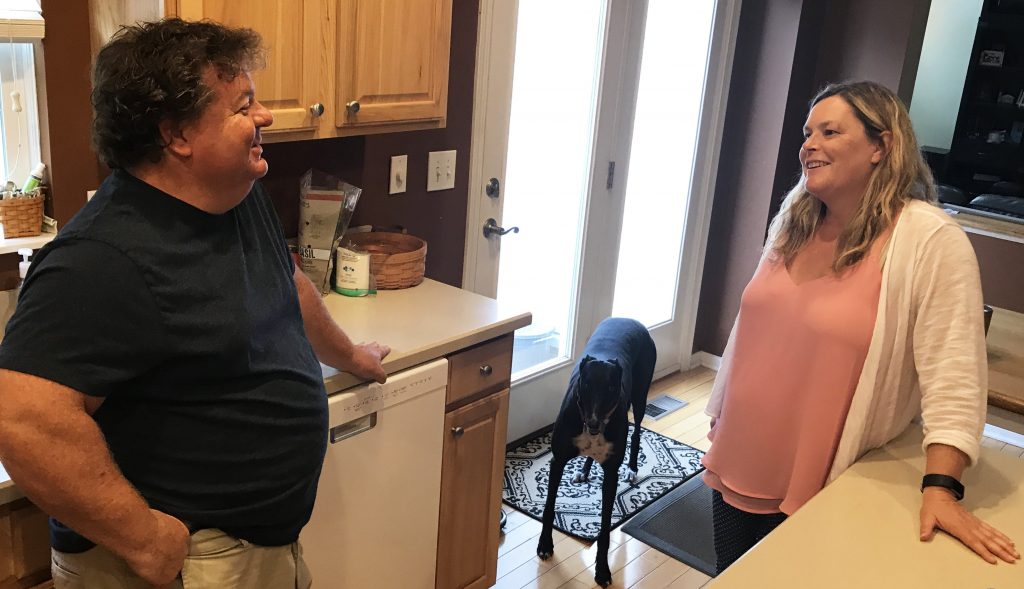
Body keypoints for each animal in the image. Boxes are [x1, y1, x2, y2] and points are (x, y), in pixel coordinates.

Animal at [536, 317, 656, 587]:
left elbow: (604, 528)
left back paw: (632, 468)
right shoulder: (558, 460)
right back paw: (584, 470)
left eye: (611, 387)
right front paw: (545, 545)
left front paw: (602, 569)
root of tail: (630, 319)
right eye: (587, 384)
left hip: (640, 393)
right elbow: (548, 508)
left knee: (637, 430)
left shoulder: (611, 473)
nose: (593, 423)